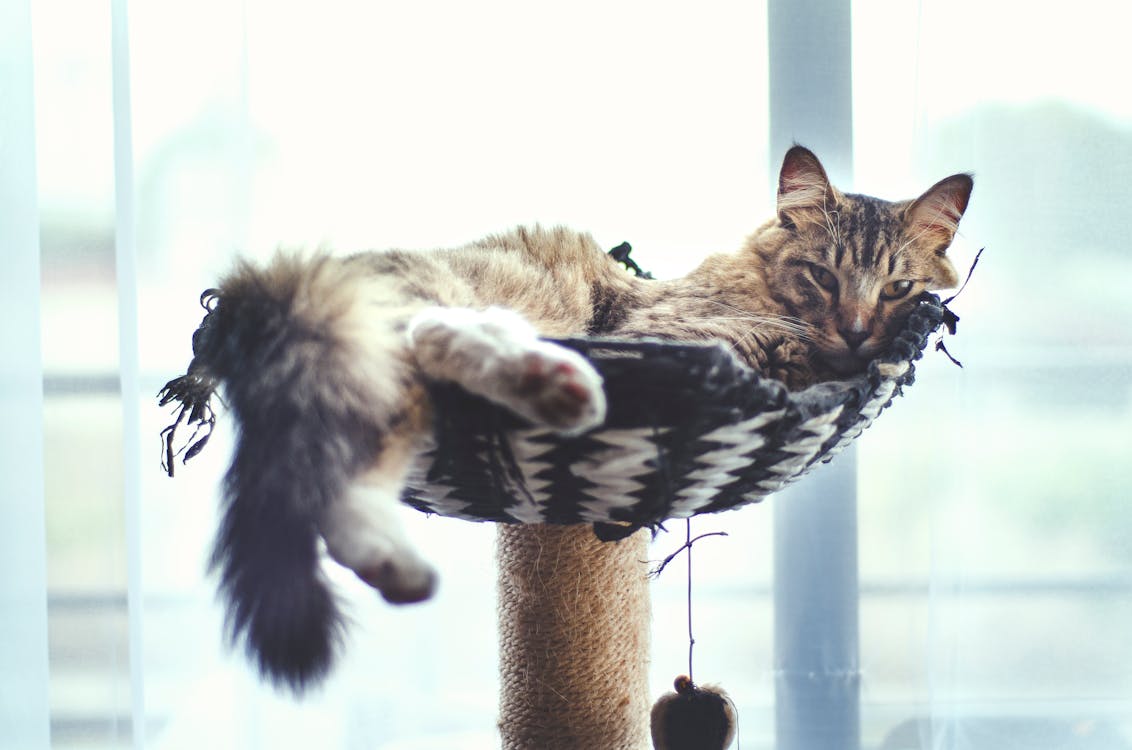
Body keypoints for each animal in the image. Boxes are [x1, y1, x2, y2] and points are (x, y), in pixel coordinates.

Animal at [165, 147, 973, 692]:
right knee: (432, 334)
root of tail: (267, 283)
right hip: (426, 309)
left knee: (346, 494)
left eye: (898, 288)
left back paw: (400, 563)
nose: (861, 334)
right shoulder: (676, 333)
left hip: (387, 395)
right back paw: (555, 384)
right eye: (824, 276)